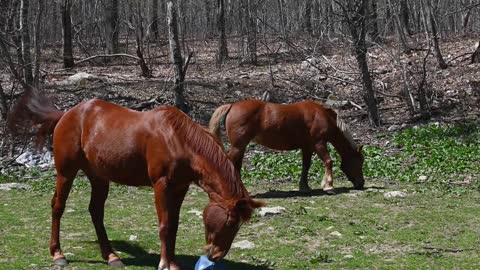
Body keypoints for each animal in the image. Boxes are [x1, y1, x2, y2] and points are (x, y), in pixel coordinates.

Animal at [8, 90, 262, 270]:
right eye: (231, 222)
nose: (215, 256)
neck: (178, 139)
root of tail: (66, 114)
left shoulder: (180, 188)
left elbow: (174, 225)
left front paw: (173, 262)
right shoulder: (161, 185)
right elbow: (164, 225)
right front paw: (165, 264)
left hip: (99, 177)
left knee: (96, 212)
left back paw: (111, 256)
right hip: (66, 173)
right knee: (58, 207)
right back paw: (58, 254)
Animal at [209, 100, 364, 193]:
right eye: (359, 162)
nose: (361, 183)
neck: (322, 115)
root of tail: (232, 105)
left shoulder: (307, 147)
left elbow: (306, 166)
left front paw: (304, 187)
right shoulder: (319, 143)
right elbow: (328, 161)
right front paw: (328, 186)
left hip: (240, 147)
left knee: (237, 165)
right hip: (238, 146)